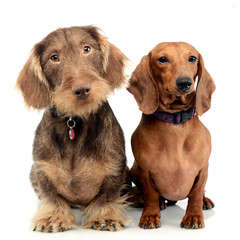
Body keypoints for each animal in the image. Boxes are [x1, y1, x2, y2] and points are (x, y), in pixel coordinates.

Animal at [16, 26, 129, 232]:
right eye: (54, 57)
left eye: (86, 49)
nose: (82, 89)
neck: (75, 120)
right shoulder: (42, 170)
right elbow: (52, 196)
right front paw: (52, 216)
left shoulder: (115, 169)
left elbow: (107, 196)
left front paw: (104, 216)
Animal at [127, 42, 216, 230]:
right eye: (162, 59)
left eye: (192, 58)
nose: (185, 83)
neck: (175, 122)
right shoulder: (145, 171)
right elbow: (151, 194)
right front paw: (150, 215)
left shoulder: (203, 169)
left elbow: (196, 193)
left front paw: (193, 216)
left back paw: (205, 200)